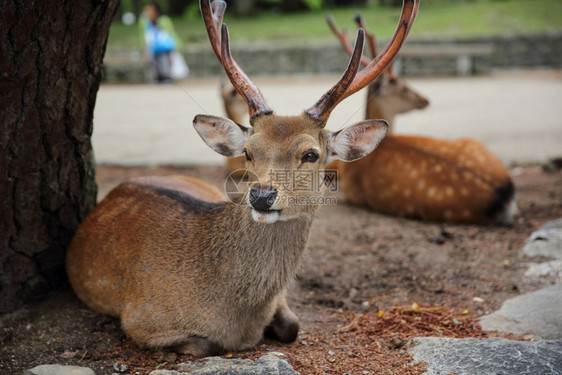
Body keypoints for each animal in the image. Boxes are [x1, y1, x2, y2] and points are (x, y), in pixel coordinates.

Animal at [64, 0, 416, 356]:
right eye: (247, 151)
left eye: (311, 154)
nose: (261, 196)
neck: (238, 313)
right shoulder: (140, 318)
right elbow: (206, 344)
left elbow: (293, 326)